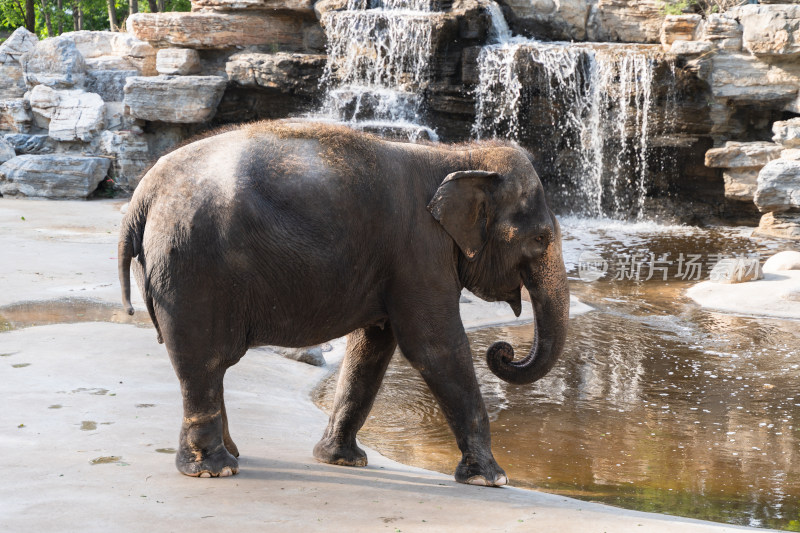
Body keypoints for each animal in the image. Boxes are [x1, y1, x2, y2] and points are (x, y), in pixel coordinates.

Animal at [117, 120, 568, 486]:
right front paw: (493, 479)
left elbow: (372, 347)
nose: (503, 351)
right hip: (192, 267)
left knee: (209, 366)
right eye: (540, 239)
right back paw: (215, 469)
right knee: (202, 362)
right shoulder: (419, 251)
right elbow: (435, 346)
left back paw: (231, 457)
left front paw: (342, 461)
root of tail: (143, 195)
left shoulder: (393, 262)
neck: (458, 155)